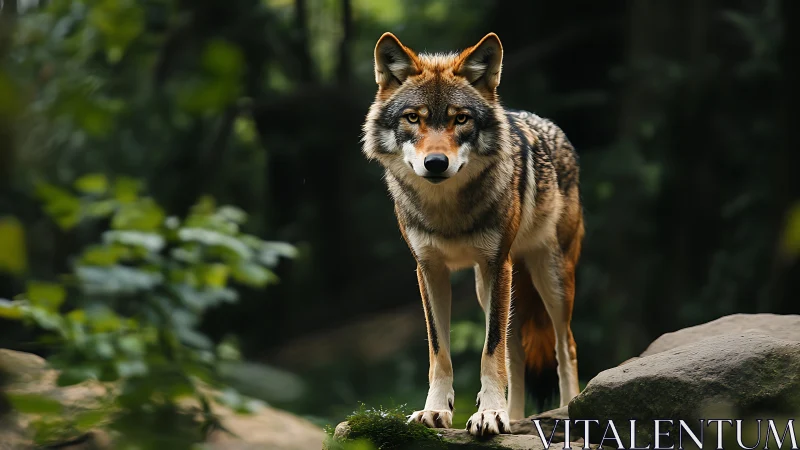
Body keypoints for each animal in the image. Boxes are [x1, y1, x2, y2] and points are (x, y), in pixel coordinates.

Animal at [361, 32, 583, 437]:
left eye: (460, 119)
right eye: (413, 118)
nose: (435, 163)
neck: (447, 212)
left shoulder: (497, 265)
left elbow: (488, 350)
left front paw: (489, 414)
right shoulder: (429, 270)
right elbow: (441, 352)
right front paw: (436, 411)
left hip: (550, 279)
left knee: (565, 347)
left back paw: (564, 410)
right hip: (492, 289)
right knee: (516, 354)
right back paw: (515, 418)